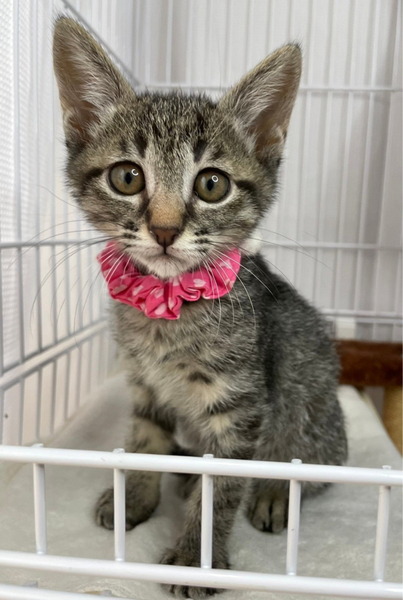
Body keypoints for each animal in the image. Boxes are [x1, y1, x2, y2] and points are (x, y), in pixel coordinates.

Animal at [53, 17, 347, 599]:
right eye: (127, 177)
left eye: (212, 184)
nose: (165, 231)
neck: (167, 310)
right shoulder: (143, 384)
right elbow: (145, 440)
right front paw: (135, 495)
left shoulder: (240, 409)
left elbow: (222, 487)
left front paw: (196, 559)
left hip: (314, 412)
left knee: (307, 468)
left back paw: (274, 495)